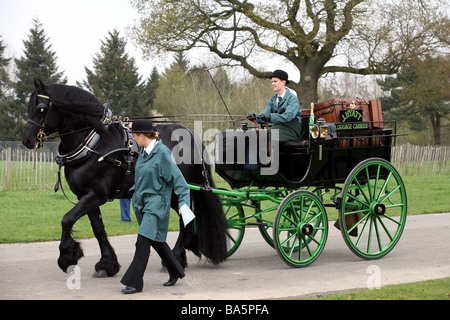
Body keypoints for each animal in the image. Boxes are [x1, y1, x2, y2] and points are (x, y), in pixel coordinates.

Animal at [22, 80, 227, 278]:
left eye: (41, 108)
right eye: (29, 107)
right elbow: (98, 228)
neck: (94, 144)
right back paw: (179, 257)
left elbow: (67, 220)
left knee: (186, 220)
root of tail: (192, 136)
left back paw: (176, 257)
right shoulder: (85, 196)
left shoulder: (96, 195)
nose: (27, 140)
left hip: (179, 191)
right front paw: (107, 264)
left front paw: (67, 257)